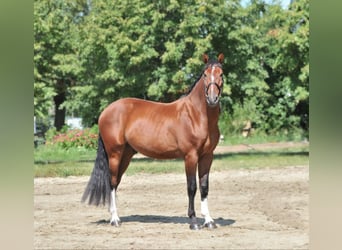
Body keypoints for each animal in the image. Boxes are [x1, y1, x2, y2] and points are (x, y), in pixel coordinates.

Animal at [82, 53, 226, 229]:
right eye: (205, 75)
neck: (196, 115)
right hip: (114, 154)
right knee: (112, 182)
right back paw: (115, 219)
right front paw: (193, 221)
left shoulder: (207, 156)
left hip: (126, 155)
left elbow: (204, 187)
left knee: (116, 183)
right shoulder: (190, 156)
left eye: (221, 74)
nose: (212, 99)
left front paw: (209, 221)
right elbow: (191, 187)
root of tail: (105, 112)